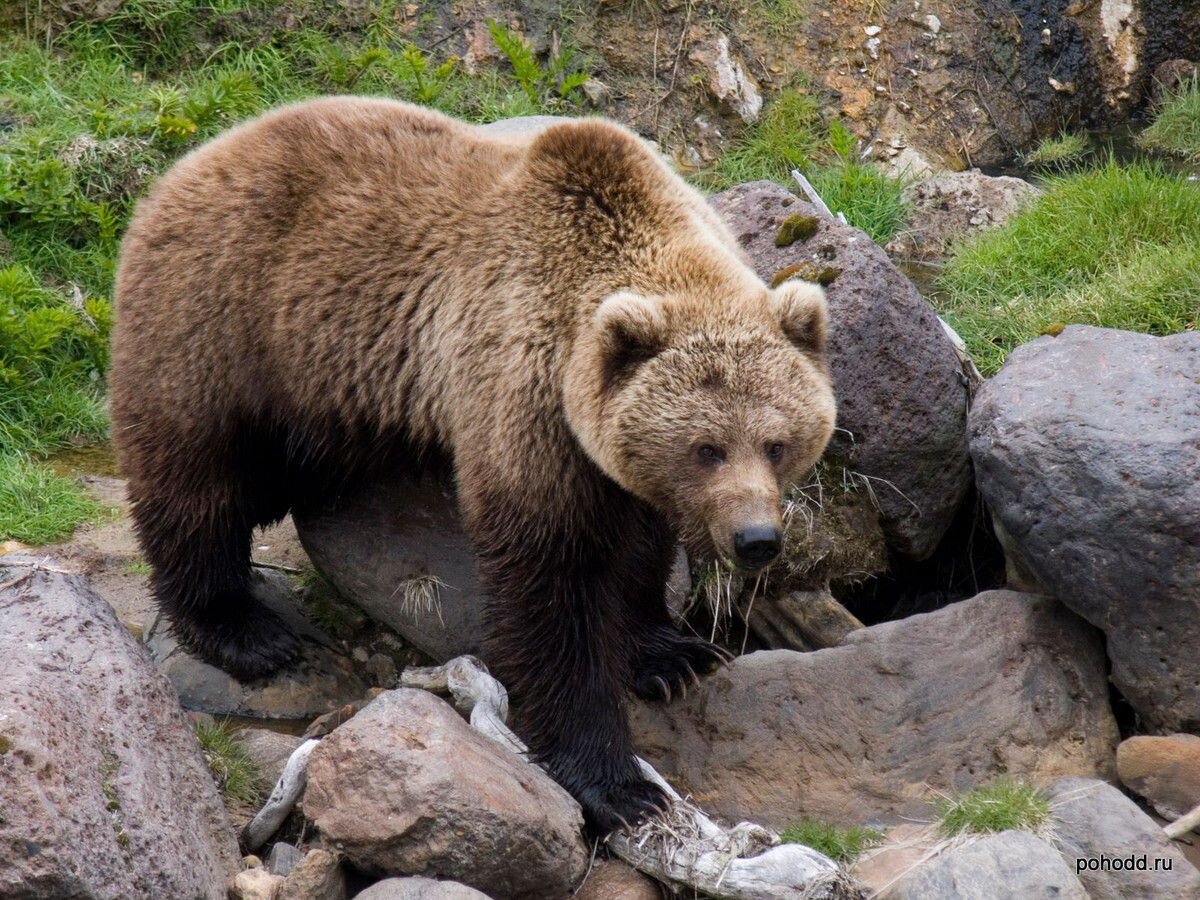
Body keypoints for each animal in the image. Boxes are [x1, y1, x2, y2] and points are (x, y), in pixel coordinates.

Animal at [110, 97, 835, 830]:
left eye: (777, 443)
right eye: (706, 448)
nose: (755, 539)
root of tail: (192, 161)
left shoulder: (610, 454)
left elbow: (637, 546)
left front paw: (671, 654)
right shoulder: (525, 393)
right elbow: (552, 587)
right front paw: (618, 782)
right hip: (227, 320)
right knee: (197, 478)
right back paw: (242, 628)